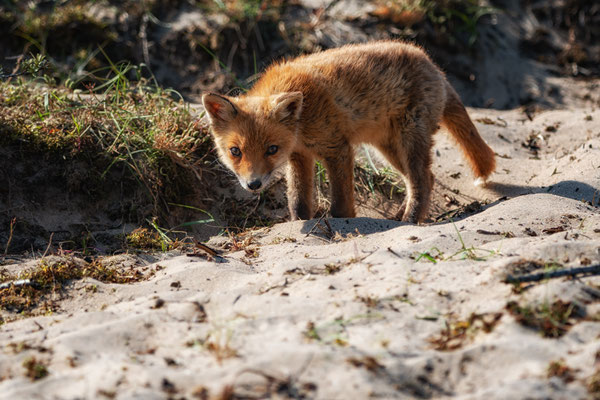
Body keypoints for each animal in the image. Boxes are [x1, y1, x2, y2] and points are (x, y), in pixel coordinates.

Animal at [204, 41, 494, 223]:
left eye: (271, 149)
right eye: (235, 151)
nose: (253, 185)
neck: (302, 123)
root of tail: (434, 65)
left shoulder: (338, 148)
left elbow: (341, 205)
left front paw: (342, 224)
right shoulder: (300, 156)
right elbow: (298, 201)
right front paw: (299, 224)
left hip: (409, 141)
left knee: (421, 181)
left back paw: (411, 220)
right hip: (389, 148)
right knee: (426, 179)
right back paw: (399, 219)